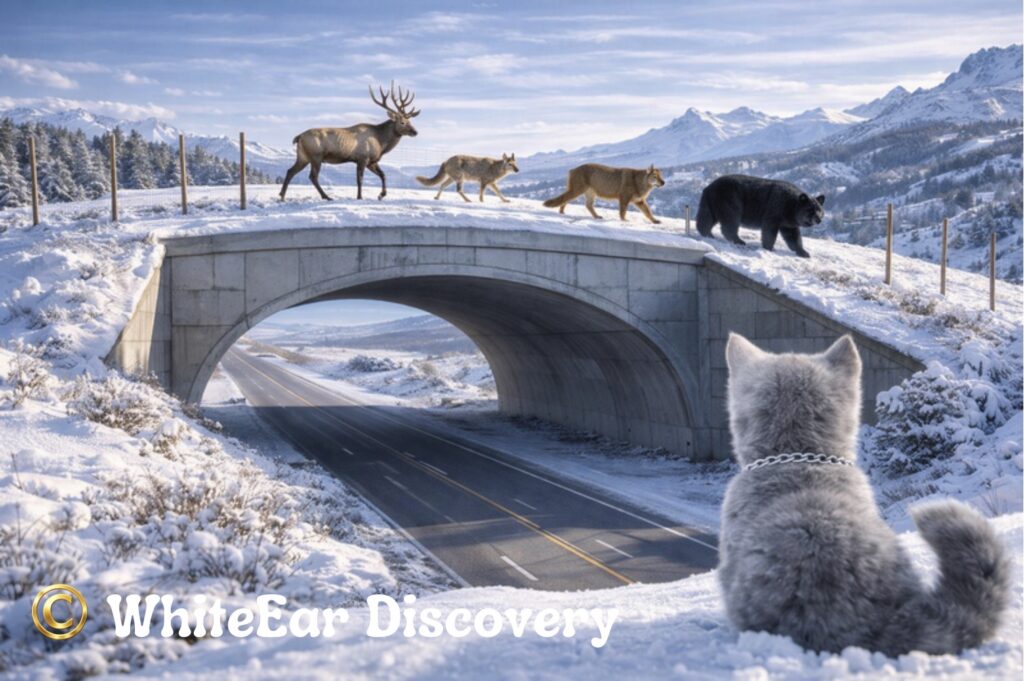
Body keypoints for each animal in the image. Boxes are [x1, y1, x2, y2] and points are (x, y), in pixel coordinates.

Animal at [279, 82, 420, 201]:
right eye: (402, 122)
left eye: (410, 121)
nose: (415, 131)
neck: (381, 143)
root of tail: (299, 137)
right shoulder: (363, 158)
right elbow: (360, 179)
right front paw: (360, 197)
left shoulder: (372, 161)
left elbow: (383, 175)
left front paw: (381, 195)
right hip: (316, 156)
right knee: (312, 176)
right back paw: (326, 197)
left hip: (303, 156)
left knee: (290, 171)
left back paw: (282, 196)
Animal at [696, 174, 825, 258]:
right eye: (810, 210)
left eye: (820, 210)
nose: (818, 219)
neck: (790, 208)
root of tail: (708, 187)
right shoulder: (775, 209)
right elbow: (769, 230)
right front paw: (769, 248)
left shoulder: (788, 222)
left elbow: (793, 236)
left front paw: (803, 252)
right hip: (730, 199)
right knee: (730, 219)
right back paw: (739, 240)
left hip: (711, 203)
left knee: (706, 218)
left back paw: (708, 234)